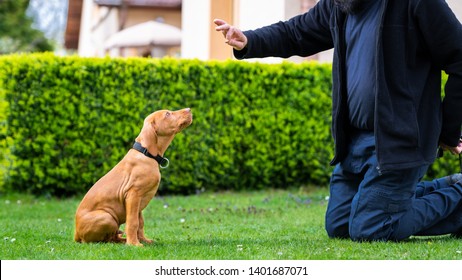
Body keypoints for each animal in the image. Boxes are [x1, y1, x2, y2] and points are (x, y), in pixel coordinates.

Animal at [74, 108, 193, 246]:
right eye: (167, 114)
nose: (189, 109)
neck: (146, 154)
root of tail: (76, 234)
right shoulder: (133, 195)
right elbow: (132, 222)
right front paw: (134, 244)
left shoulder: (140, 200)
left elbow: (140, 223)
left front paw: (143, 240)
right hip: (107, 217)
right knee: (101, 240)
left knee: (112, 237)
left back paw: (123, 239)